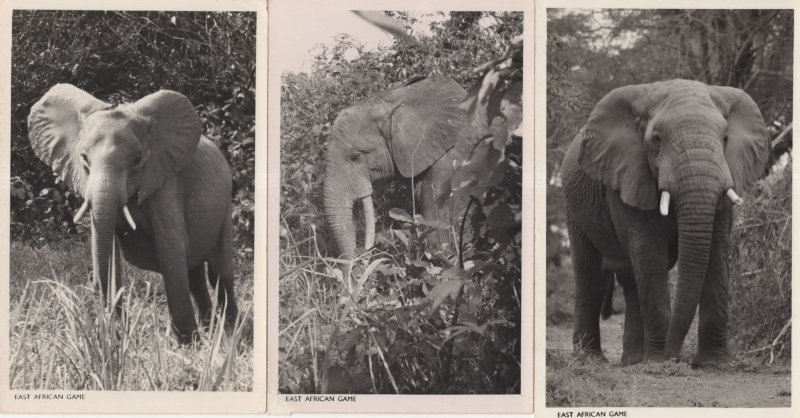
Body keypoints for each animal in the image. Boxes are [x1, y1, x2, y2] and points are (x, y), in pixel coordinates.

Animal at [28, 84, 241, 342]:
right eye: (84, 159)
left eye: (137, 160)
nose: (120, 328)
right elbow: (107, 251)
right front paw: (114, 338)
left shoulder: (165, 182)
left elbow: (171, 250)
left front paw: (187, 344)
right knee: (195, 273)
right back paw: (211, 330)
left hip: (225, 206)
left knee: (220, 273)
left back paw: (232, 333)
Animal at [560, 80, 772, 368]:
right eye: (657, 140)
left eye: (725, 138)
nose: (678, 358)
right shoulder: (630, 175)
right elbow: (650, 254)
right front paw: (660, 362)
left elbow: (716, 254)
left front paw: (715, 363)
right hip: (575, 206)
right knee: (591, 275)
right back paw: (592, 359)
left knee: (630, 281)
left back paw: (632, 360)